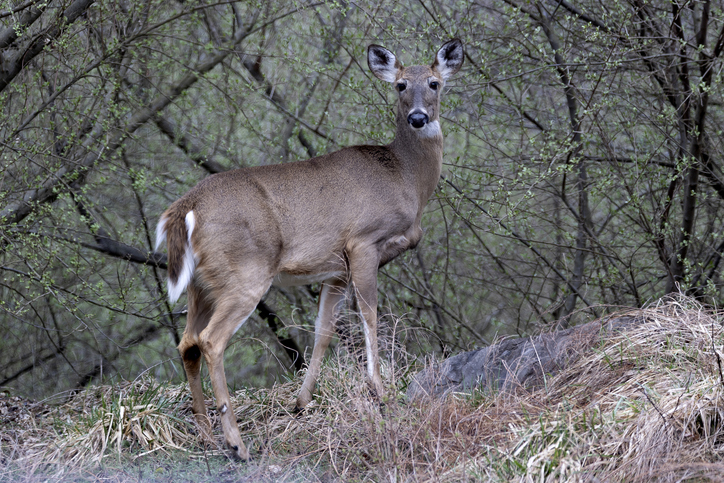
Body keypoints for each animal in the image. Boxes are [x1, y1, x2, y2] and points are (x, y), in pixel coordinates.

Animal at [154, 39, 463, 460]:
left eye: (434, 83)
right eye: (401, 85)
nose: (418, 117)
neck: (406, 178)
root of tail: (185, 208)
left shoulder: (335, 268)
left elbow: (324, 329)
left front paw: (301, 403)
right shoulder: (363, 242)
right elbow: (370, 317)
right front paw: (380, 392)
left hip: (201, 284)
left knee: (187, 343)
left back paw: (205, 435)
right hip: (245, 273)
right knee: (210, 341)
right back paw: (236, 443)